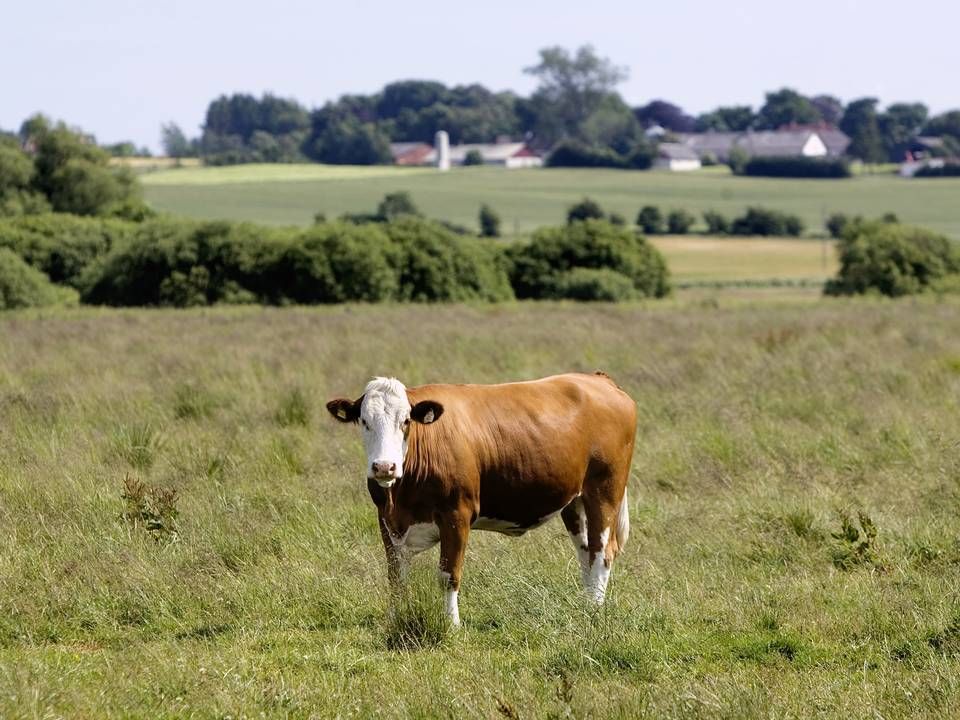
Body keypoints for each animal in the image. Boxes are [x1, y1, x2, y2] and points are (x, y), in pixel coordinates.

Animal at [328, 372, 636, 624]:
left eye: (405, 421)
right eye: (364, 421)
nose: (384, 467)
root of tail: (598, 379)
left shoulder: (456, 515)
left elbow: (448, 575)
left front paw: (451, 625)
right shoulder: (387, 520)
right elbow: (396, 577)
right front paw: (394, 619)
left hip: (605, 491)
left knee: (602, 552)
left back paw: (594, 611)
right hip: (574, 501)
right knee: (585, 553)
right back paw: (585, 604)